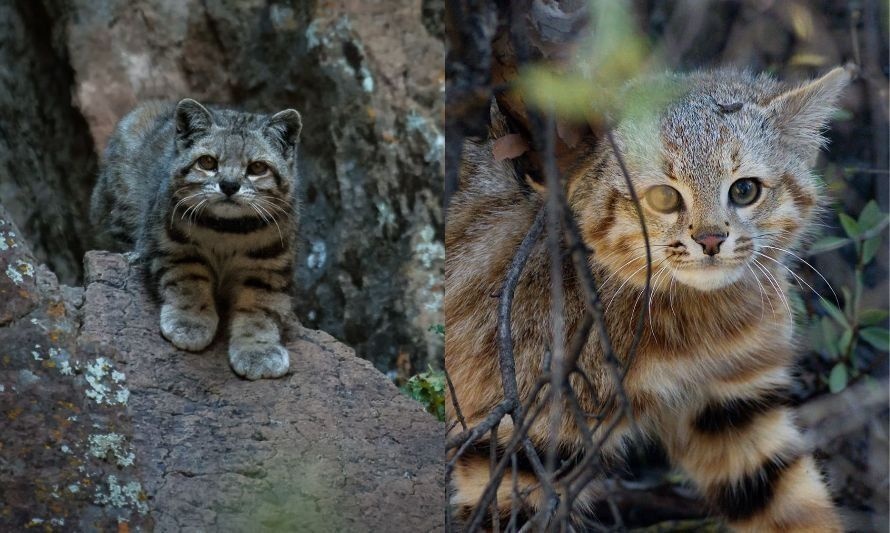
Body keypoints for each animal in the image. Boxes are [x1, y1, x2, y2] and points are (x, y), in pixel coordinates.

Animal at [91, 97, 302, 380]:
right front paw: (190, 322)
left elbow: (260, 310)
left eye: (257, 167)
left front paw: (258, 350)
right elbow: (189, 284)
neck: (228, 231)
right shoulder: (174, 248)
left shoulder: (268, 267)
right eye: (207, 162)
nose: (229, 185)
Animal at [444, 65, 848, 528]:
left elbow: (798, 510)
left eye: (745, 190)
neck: (690, 320)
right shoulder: (523, 436)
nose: (711, 240)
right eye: (663, 197)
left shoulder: (736, 406)